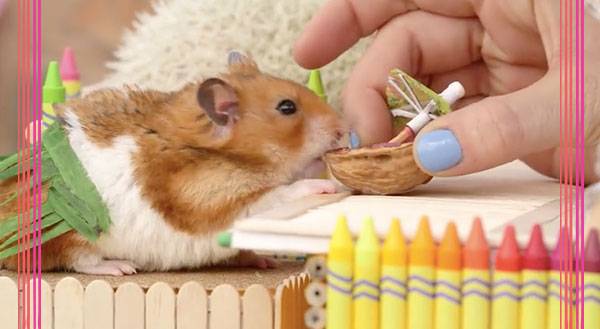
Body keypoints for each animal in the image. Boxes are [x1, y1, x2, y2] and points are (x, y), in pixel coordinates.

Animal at [0, 51, 344, 276]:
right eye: (287, 107)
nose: (343, 128)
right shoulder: (211, 202)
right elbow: (278, 195)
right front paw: (325, 186)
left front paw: (263, 260)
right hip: (70, 233)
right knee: (78, 260)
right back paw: (121, 267)